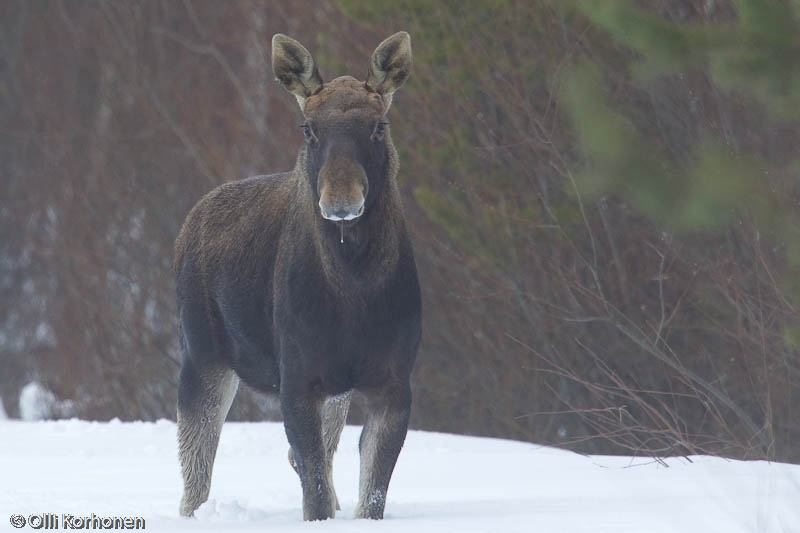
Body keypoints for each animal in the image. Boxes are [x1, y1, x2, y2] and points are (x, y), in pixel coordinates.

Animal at [175, 32, 422, 520]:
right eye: (308, 129)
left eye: (378, 127)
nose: (341, 200)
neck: (356, 287)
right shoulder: (298, 378)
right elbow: (315, 493)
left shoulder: (393, 381)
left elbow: (369, 493)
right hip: (202, 353)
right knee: (195, 473)